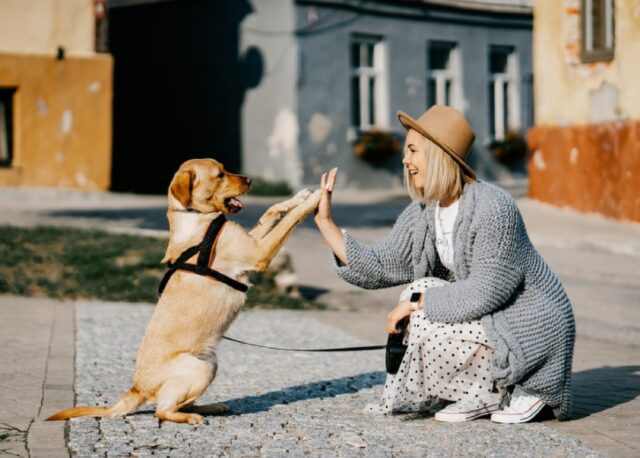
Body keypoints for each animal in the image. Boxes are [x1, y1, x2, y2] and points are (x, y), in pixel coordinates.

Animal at [46, 158, 320, 426]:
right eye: (220, 174)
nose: (251, 180)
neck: (196, 217)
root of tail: (136, 389)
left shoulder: (252, 241)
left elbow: (271, 211)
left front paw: (299, 196)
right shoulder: (258, 252)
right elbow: (289, 220)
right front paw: (315, 199)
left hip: (210, 364)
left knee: (179, 403)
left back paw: (211, 407)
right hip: (199, 368)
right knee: (163, 410)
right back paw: (191, 417)